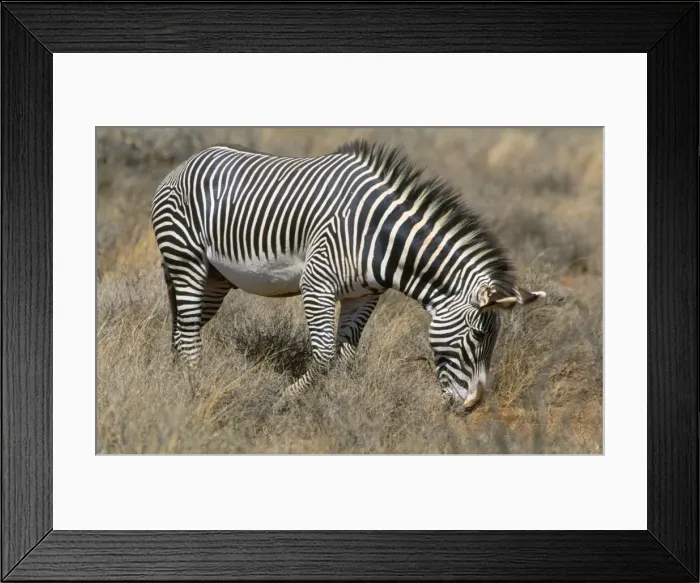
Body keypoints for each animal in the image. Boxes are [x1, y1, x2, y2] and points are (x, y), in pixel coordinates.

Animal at [151, 139, 545, 413]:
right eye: (478, 336)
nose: (472, 407)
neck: (380, 237)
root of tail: (187, 161)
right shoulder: (317, 285)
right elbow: (325, 355)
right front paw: (285, 401)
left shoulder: (363, 295)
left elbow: (346, 356)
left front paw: (339, 404)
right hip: (186, 259)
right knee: (189, 332)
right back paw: (194, 390)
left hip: (214, 279)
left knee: (183, 327)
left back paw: (175, 379)